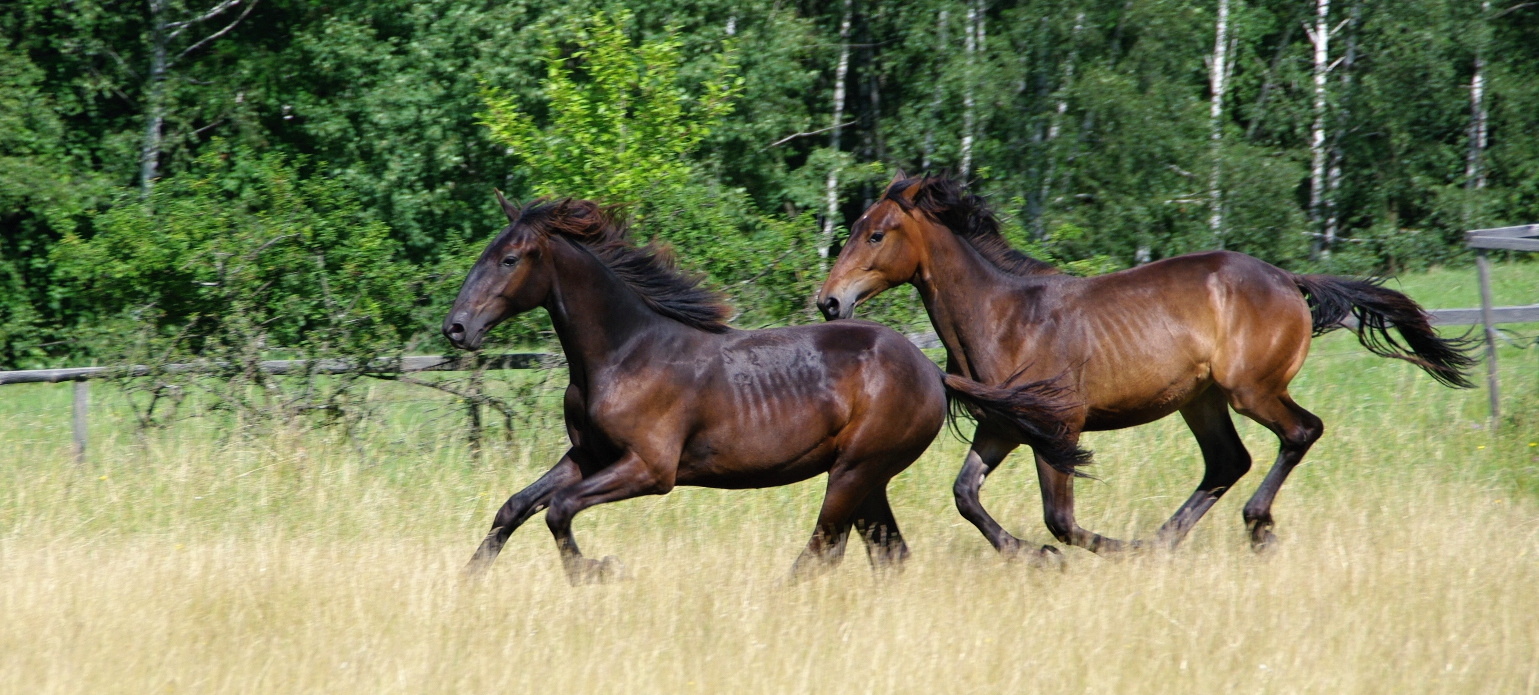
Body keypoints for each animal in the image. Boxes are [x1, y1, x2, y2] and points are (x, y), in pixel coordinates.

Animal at [440, 192, 1089, 584]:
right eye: (487, 252)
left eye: (511, 259)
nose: (457, 327)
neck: (625, 354)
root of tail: (932, 370)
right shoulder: (588, 455)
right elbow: (517, 505)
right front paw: (468, 578)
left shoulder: (650, 469)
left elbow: (558, 510)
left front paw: (600, 571)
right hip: (868, 478)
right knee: (886, 555)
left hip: (854, 470)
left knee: (823, 553)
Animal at [818, 175, 1477, 559]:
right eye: (854, 228)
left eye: (875, 235)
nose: (829, 302)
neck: (1006, 316)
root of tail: (1289, 279)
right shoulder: (1003, 425)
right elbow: (966, 496)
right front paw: (1029, 554)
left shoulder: (1059, 426)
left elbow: (1061, 519)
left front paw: (1108, 551)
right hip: (1200, 400)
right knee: (1227, 461)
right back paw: (1166, 543)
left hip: (1250, 390)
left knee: (1299, 432)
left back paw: (1255, 527)